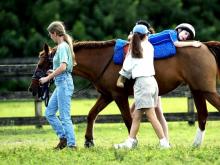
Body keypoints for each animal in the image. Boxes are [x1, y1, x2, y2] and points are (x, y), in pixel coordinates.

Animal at [28, 39, 220, 147]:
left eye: (41, 63)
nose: (32, 87)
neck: (102, 60)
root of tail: (205, 46)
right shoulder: (106, 95)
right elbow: (91, 114)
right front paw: (89, 140)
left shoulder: (118, 96)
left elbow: (128, 119)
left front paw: (133, 142)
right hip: (197, 90)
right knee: (203, 115)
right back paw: (195, 144)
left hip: (207, 91)